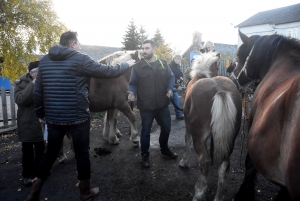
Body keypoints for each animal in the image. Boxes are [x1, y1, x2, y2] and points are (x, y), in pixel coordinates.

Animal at [179, 52, 243, 201]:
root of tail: (219, 91)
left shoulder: (188, 125)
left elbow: (187, 140)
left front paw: (184, 162)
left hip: (198, 136)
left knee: (205, 161)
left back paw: (199, 192)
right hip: (231, 137)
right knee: (224, 166)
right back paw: (218, 197)